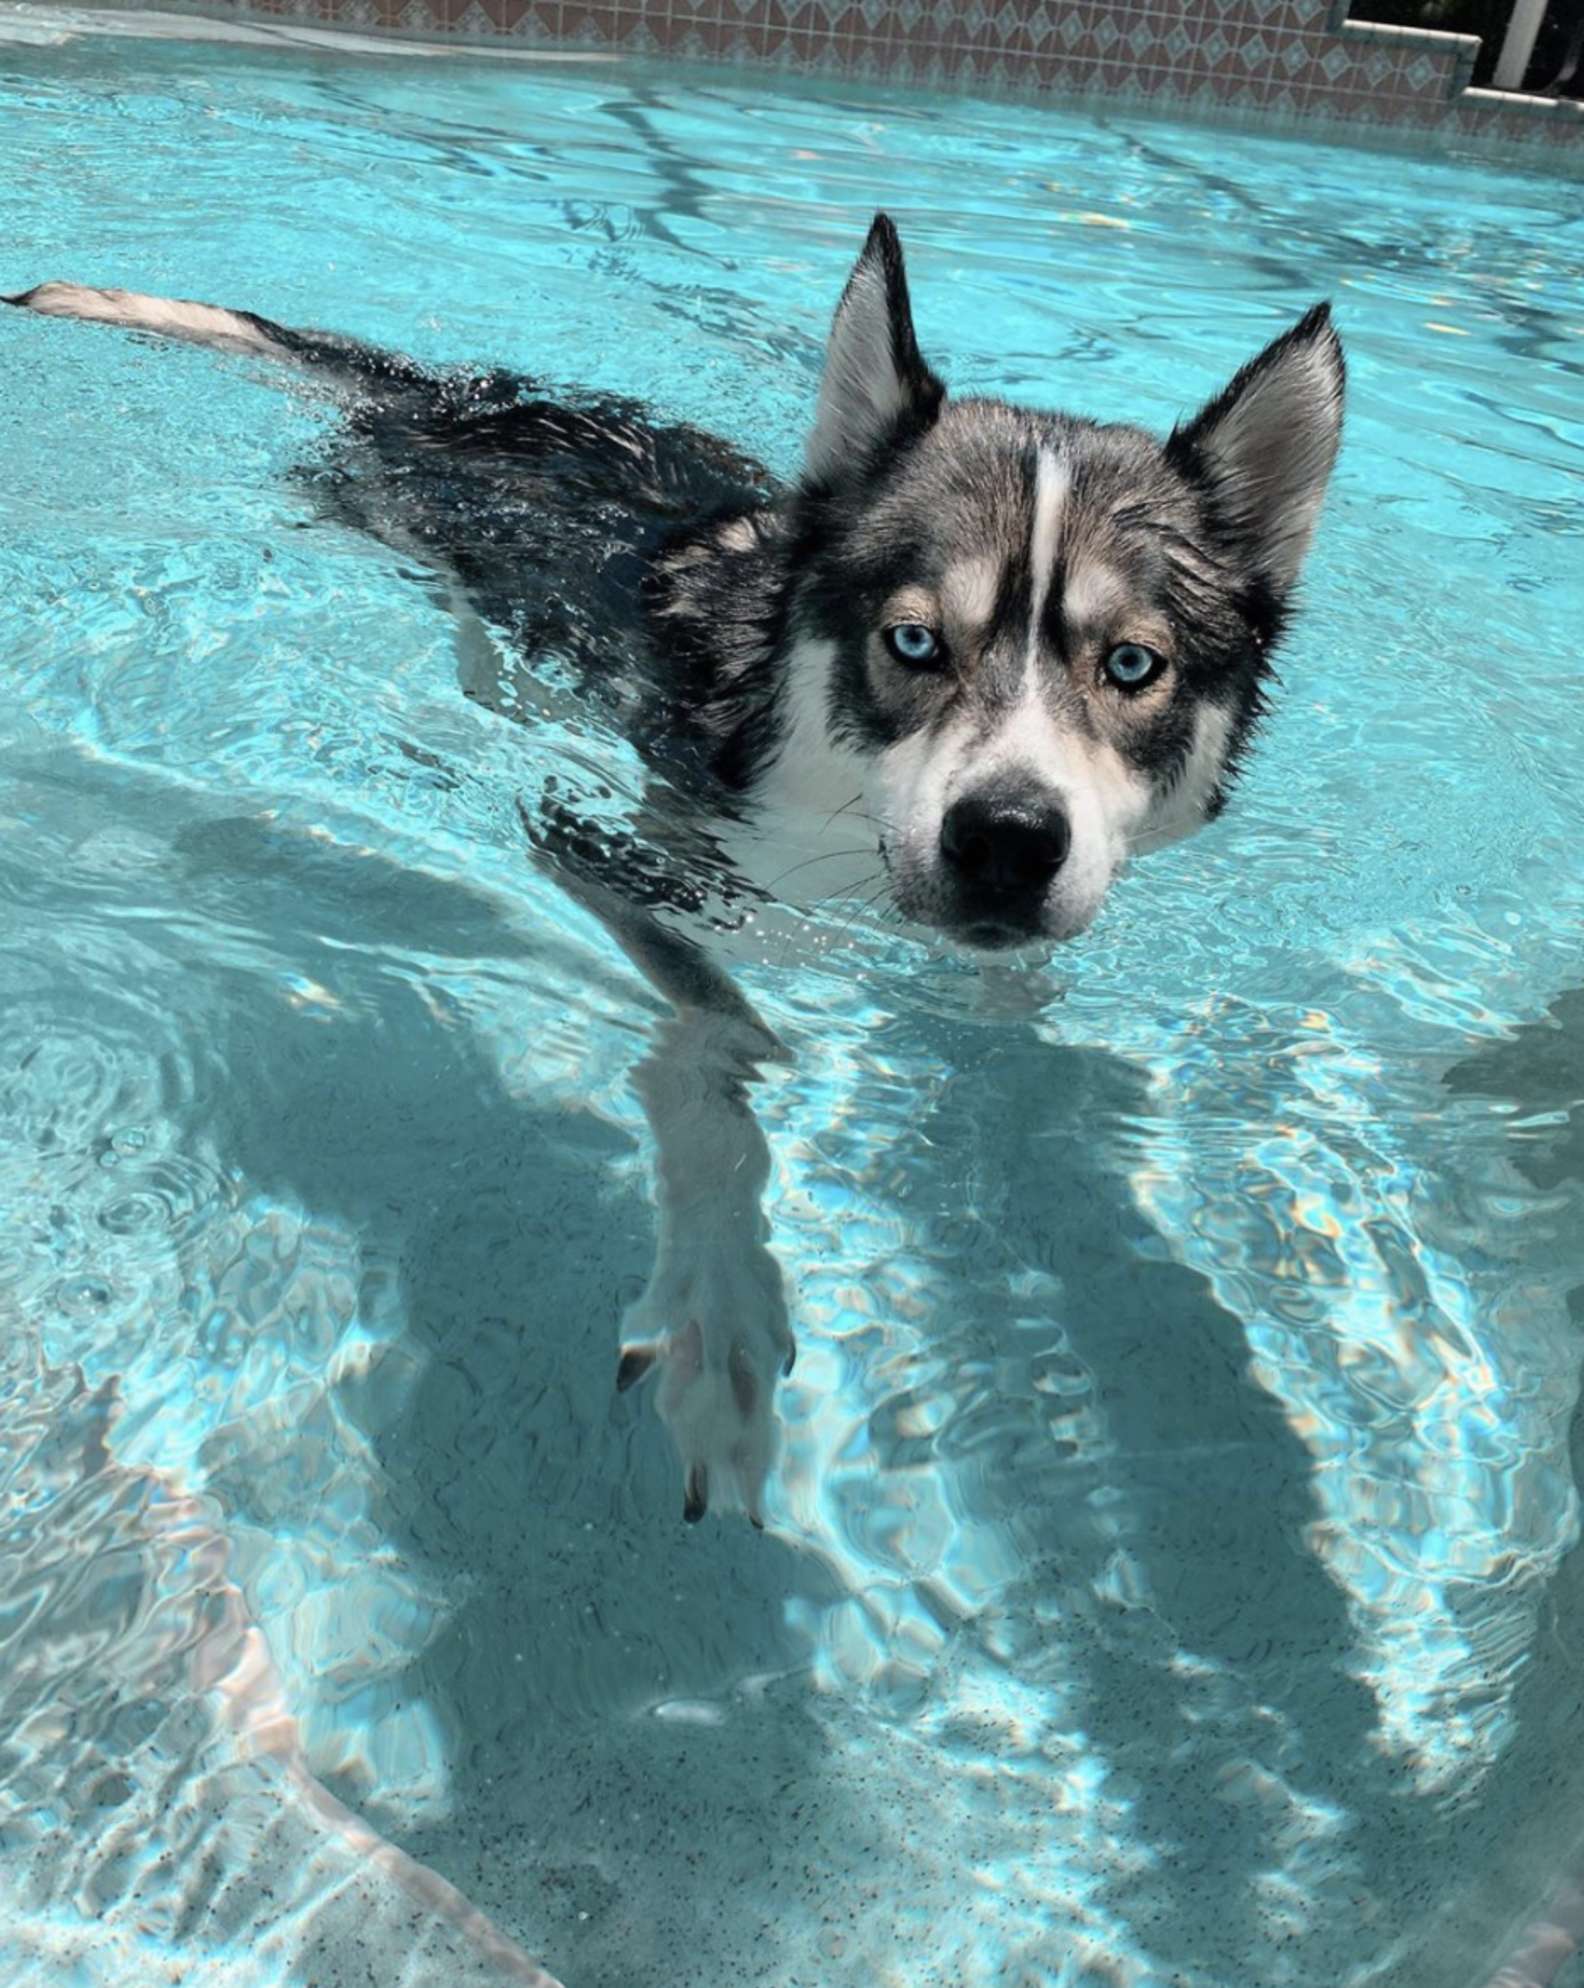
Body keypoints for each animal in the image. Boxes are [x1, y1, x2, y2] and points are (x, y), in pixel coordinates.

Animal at [9, 217, 1343, 1518]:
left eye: (1132, 665)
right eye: (913, 640)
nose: (1008, 838)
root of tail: (479, 395)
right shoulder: (609, 844)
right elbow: (722, 1039)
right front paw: (721, 1306)